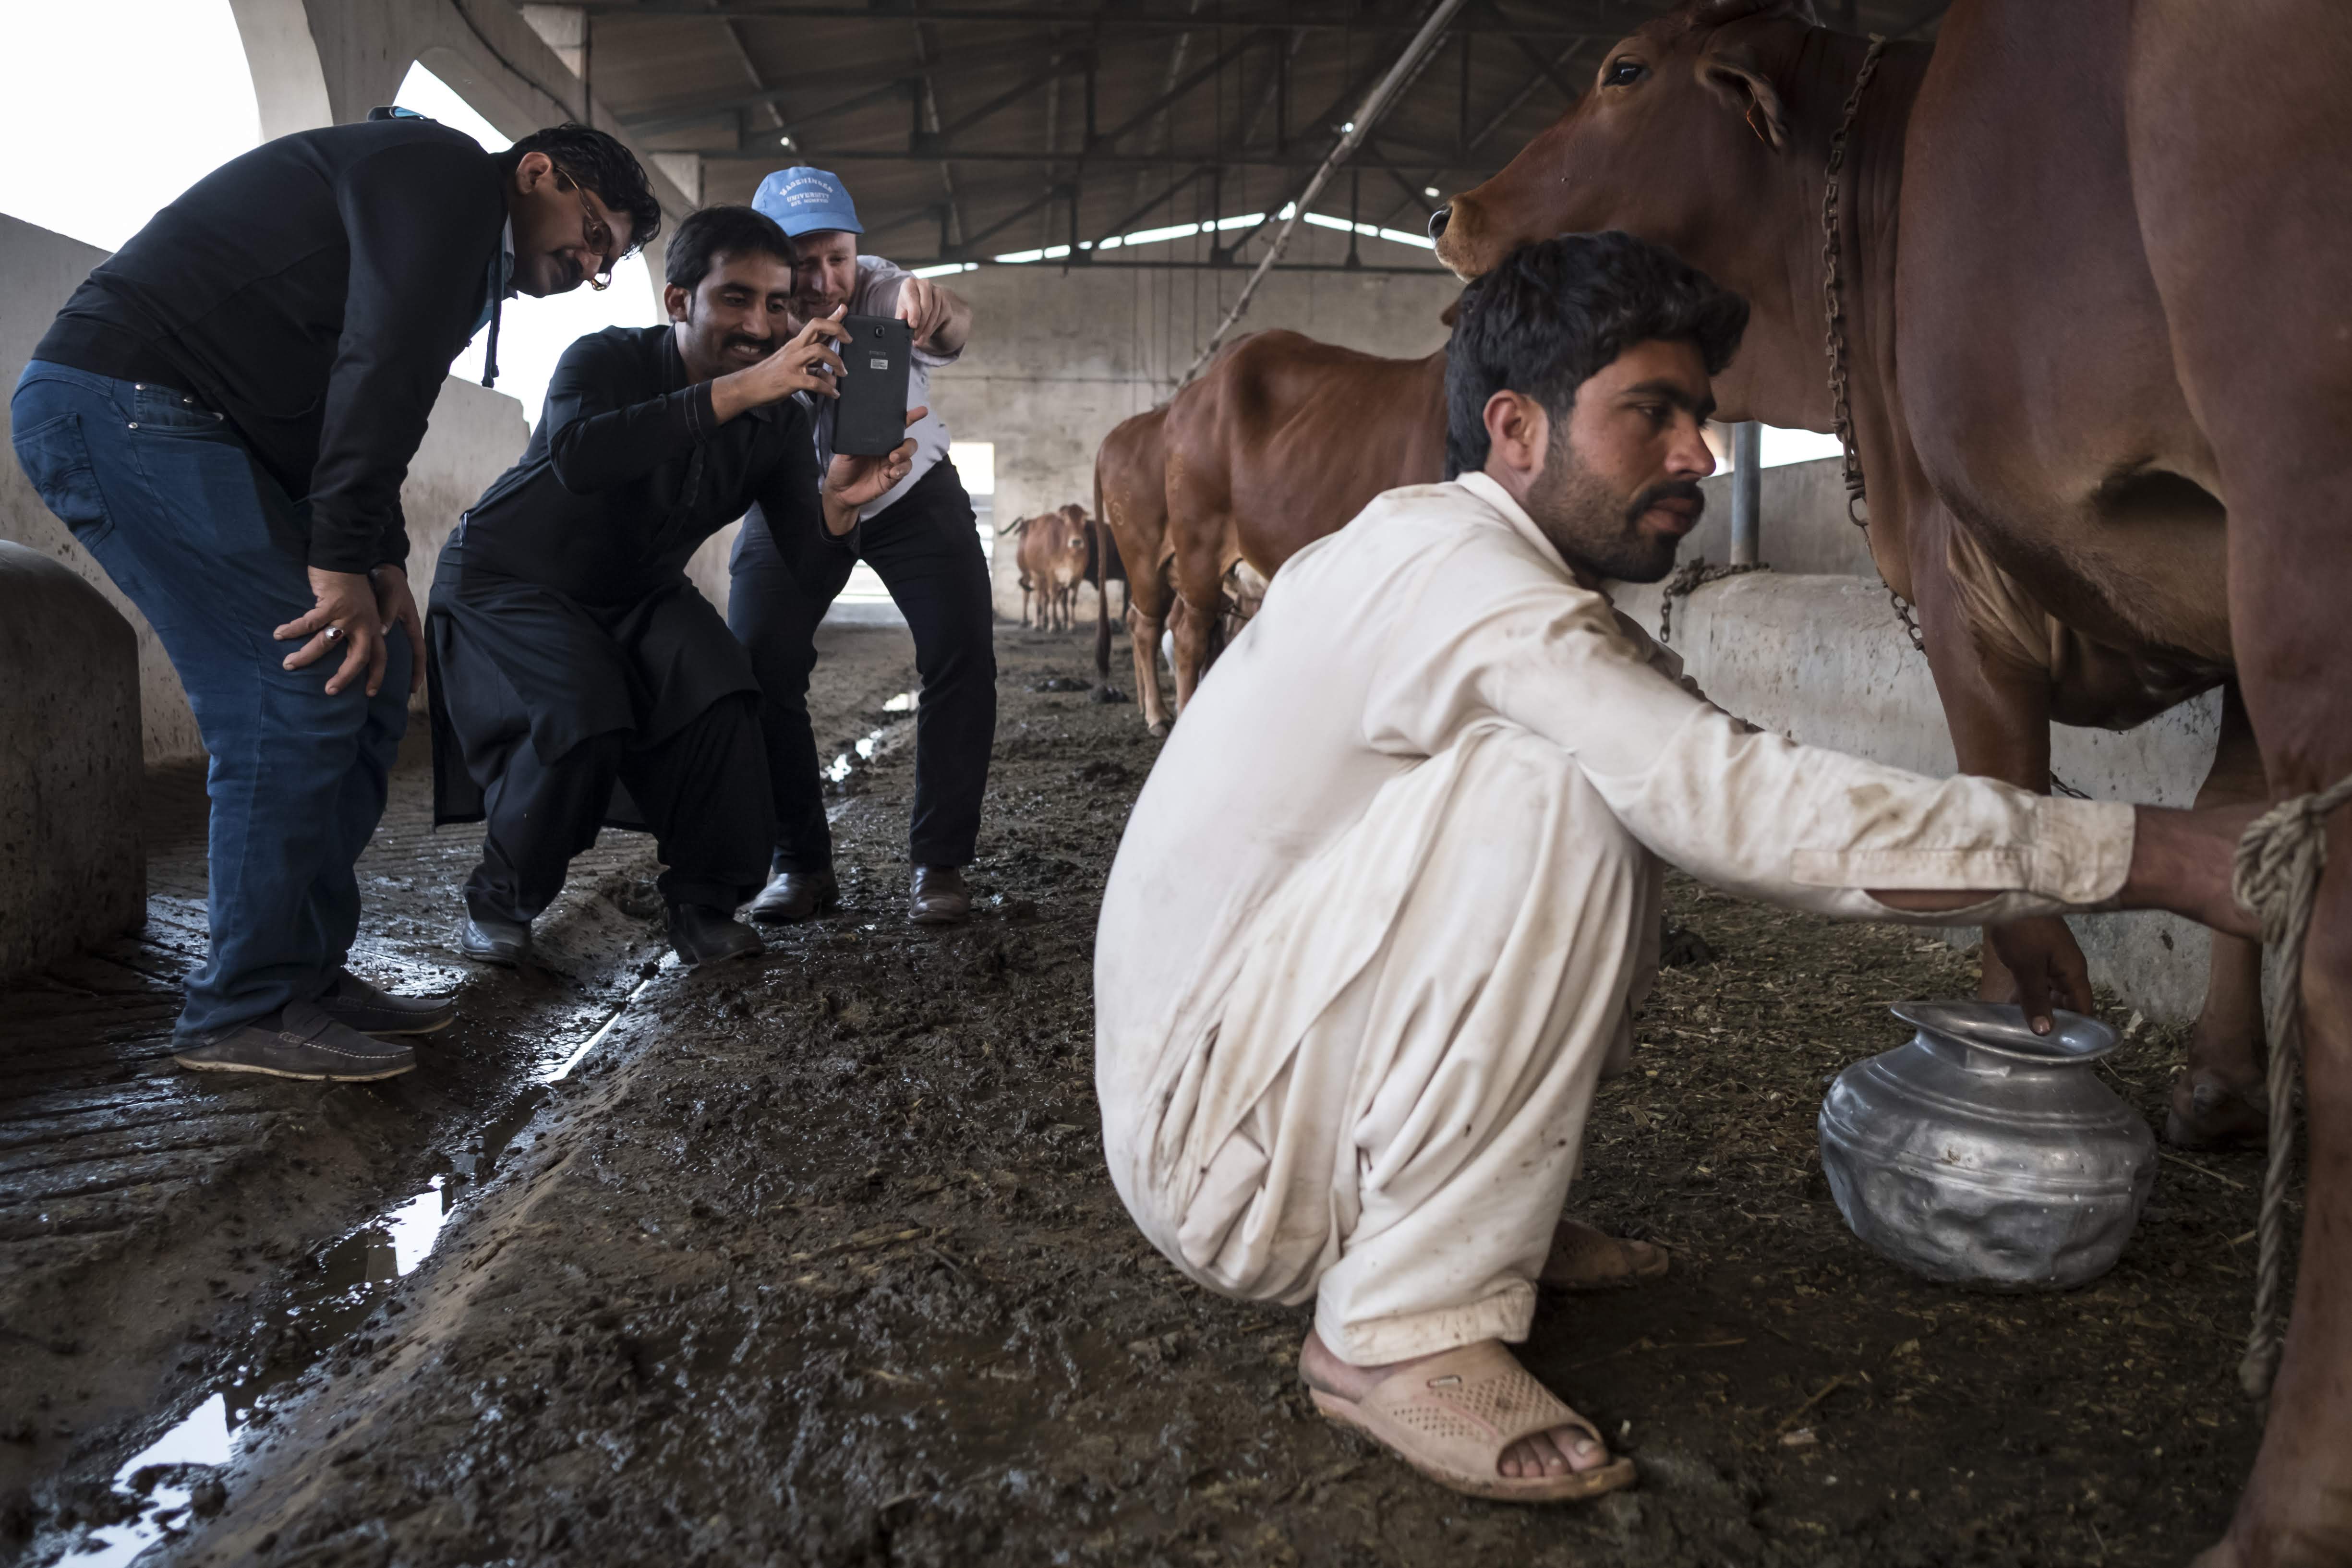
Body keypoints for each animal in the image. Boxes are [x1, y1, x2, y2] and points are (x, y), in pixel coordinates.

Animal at [1420, 6, 2352, 1561]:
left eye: (1621, 69)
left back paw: (2286, 1506)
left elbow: (2015, 829)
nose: (1450, 207)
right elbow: (2233, 842)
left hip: (2305, 493)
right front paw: (2215, 1089)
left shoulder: (1971, 587)